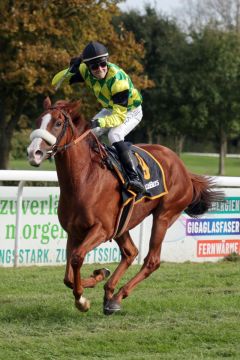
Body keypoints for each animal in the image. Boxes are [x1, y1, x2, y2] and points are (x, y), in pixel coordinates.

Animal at [26, 97, 223, 314]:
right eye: (38, 121)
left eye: (58, 123)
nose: (34, 153)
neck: (84, 178)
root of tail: (184, 169)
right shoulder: (74, 231)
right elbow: (69, 275)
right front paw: (98, 276)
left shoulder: (102, 229)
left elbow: (77, 258)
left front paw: (82, 300)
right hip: (124, 223)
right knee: (130, 252)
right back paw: (109, 291)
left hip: (164, 215)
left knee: (151, 260)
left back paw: (117, 297)